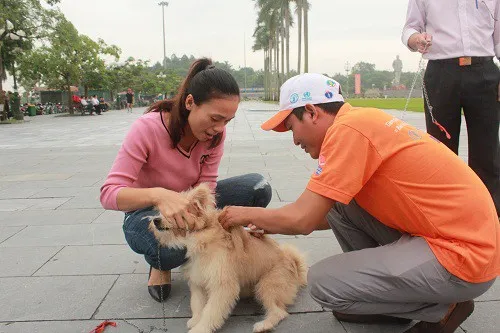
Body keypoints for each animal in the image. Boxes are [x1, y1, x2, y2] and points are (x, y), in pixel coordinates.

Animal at [148, 184, 306, 332]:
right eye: (160, 210)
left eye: (172, 213)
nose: (155, 220)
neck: (200, 237)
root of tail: (294, 263)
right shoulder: (198, 280)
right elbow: (198, 304)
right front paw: (196, 320)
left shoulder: (222, 285)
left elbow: (211, 311)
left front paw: (201, 328)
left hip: (267, 286)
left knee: (279, 311)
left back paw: (264, 325)